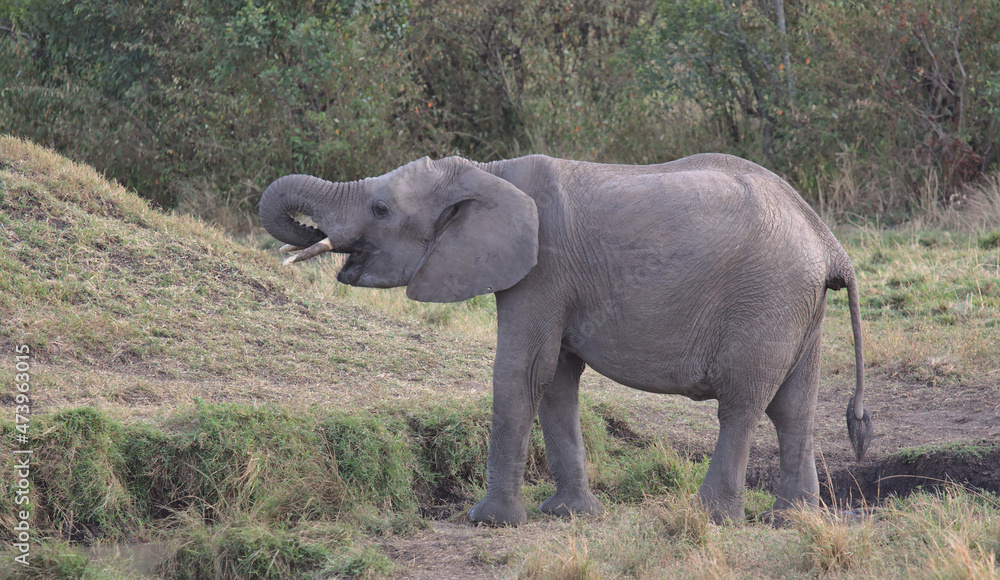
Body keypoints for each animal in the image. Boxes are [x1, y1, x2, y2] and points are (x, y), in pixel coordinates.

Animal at [259, 153, 872, 525]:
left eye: (381, 209)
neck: (487, 172)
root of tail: (829, 244)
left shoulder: (541, 270)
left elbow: (521, 372)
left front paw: (489, 521)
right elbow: (555, 378)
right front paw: (568, 515)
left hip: (764, 298)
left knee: (743, 403)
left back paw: (713, 517)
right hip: (797, 304)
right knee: (794, 405)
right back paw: (790, 519)